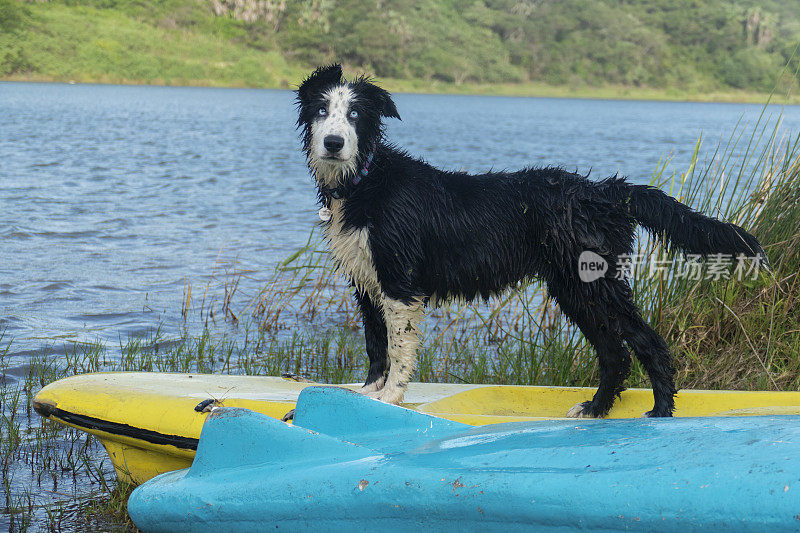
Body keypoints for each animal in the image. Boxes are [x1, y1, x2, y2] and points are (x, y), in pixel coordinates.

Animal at [296, 64, 768, 418]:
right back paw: (595, 409)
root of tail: (605, 191)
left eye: (355, 115)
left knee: (646, 343)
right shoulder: (365, 279)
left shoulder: (398, 282)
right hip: (574, 286)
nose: (333, 143)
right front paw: (366, 393)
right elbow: (376, 345)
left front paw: (391, 397)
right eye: (321, 110)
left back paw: (660, 411)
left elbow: (398, 347)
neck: (366, 180)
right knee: (614, 353)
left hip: (594, 283)